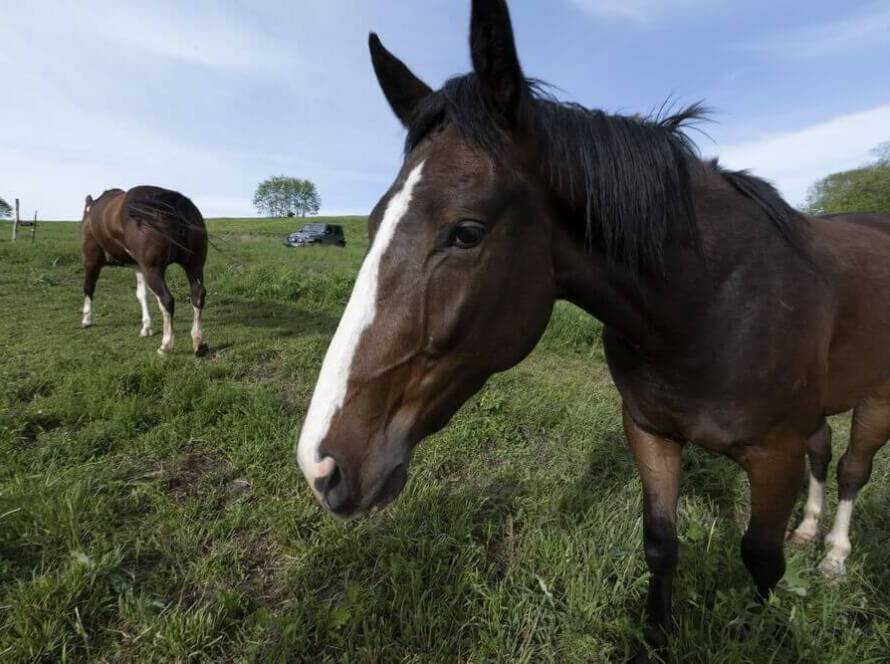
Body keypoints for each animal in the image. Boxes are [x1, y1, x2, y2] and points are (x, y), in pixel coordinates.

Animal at [80, 184, 208, 356]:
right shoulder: (140, 268)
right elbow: (142, 295)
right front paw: (146, 327)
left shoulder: (91, 261)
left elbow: (88, 287)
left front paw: (87, 319)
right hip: (194, 266)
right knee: (197, 296)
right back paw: (197, 340)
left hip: (154, 270)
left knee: (167, 300)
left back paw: (166, 344)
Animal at [296, 0, 888, 656]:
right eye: (373, 222)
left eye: (466, 232)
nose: (321, 465)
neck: (711, 304)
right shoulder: (649, 431)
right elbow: (661, 543)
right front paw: (654, 638)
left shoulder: (774, 454)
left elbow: (761, 559)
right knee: (825, 451)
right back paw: (808, 530)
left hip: (876, 400)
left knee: (852, 468)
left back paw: (833, 556)